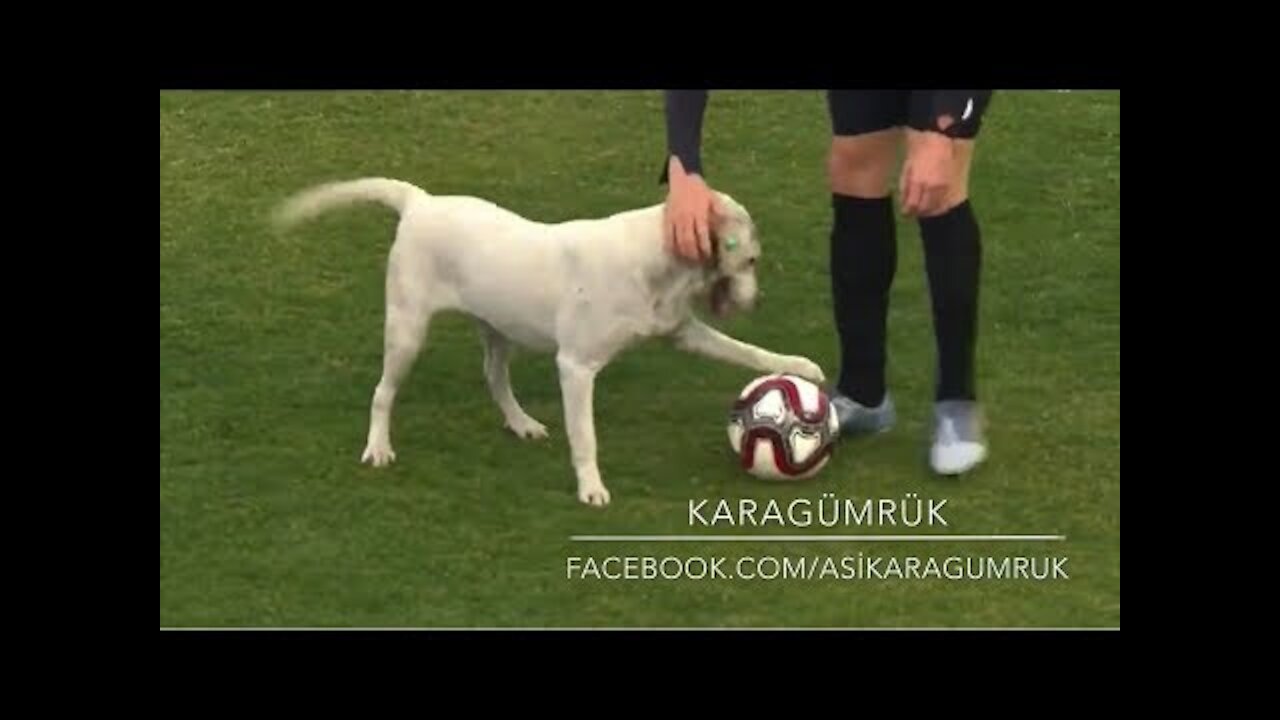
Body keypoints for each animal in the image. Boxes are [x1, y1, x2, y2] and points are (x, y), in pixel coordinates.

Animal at [275, 176, 824, 504]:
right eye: (750, 259)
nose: (760, 302)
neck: (660, 263)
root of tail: (419, 201)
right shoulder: (576, 367)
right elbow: (585, 436)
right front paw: (591, 487)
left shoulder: (683, 334)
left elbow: (750, 353)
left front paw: (802, 368)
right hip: (407, 332)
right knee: (383, 393)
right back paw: (378, 447)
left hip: (499, 329)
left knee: (494, 377)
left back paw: (520, 423)